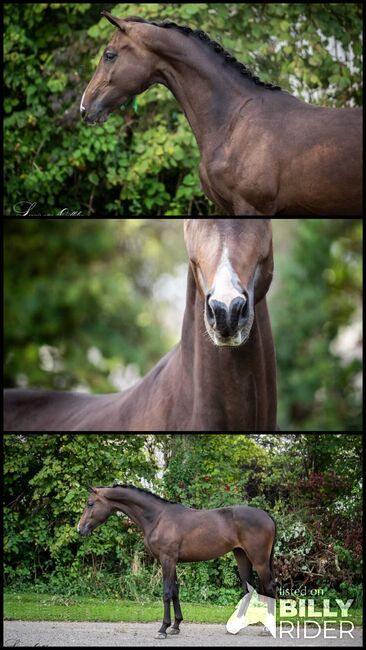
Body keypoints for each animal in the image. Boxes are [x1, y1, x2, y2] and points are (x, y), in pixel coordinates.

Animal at [78, 484, 278, 636]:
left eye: (90, 503)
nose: (80, 529)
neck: (157, 517)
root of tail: (267, 516)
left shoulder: (167, 559)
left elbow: (166, 592)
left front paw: (163, 629)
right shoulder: (171, 561)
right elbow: (175, 591)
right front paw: (175, 626)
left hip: (259, 560)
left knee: (269, 588)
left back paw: (267, 629)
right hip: (241, 556)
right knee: (248, 589)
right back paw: (235, 627)